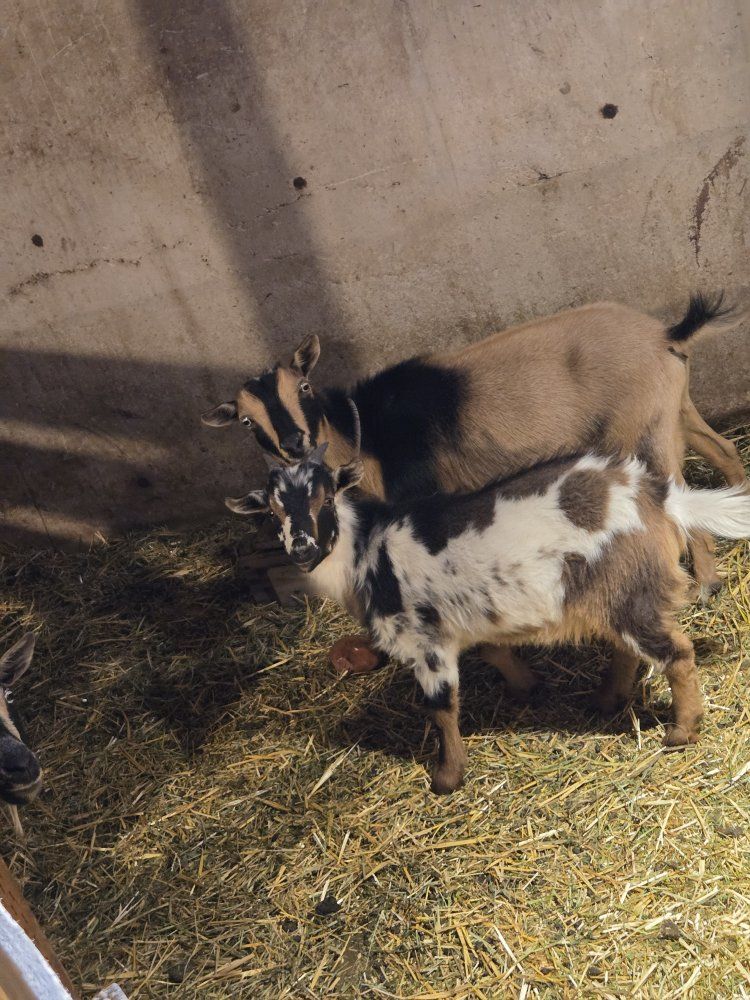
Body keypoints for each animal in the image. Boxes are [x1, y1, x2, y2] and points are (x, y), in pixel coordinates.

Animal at [203, 294, 748, 600]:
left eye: (304, 387)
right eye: (246, 421)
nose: (296, 443)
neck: (366, 436)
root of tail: (664, 334)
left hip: (644, 432)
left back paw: (705, 585)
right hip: (672, 411)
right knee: (723, 451)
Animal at [225, 445, 750, 793]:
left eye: (326, 498)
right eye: (272, 511)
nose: (302, 549)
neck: (364, 553)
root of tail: (658, 496)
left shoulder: (426, 642)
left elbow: (441, 707)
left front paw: (446, 777)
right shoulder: (462, 624)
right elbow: (496, 650)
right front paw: (527, 686)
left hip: (632, 592)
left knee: (676, 654)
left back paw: (681, 731)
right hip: (613, 595)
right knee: (628, 649)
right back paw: (604, 701)